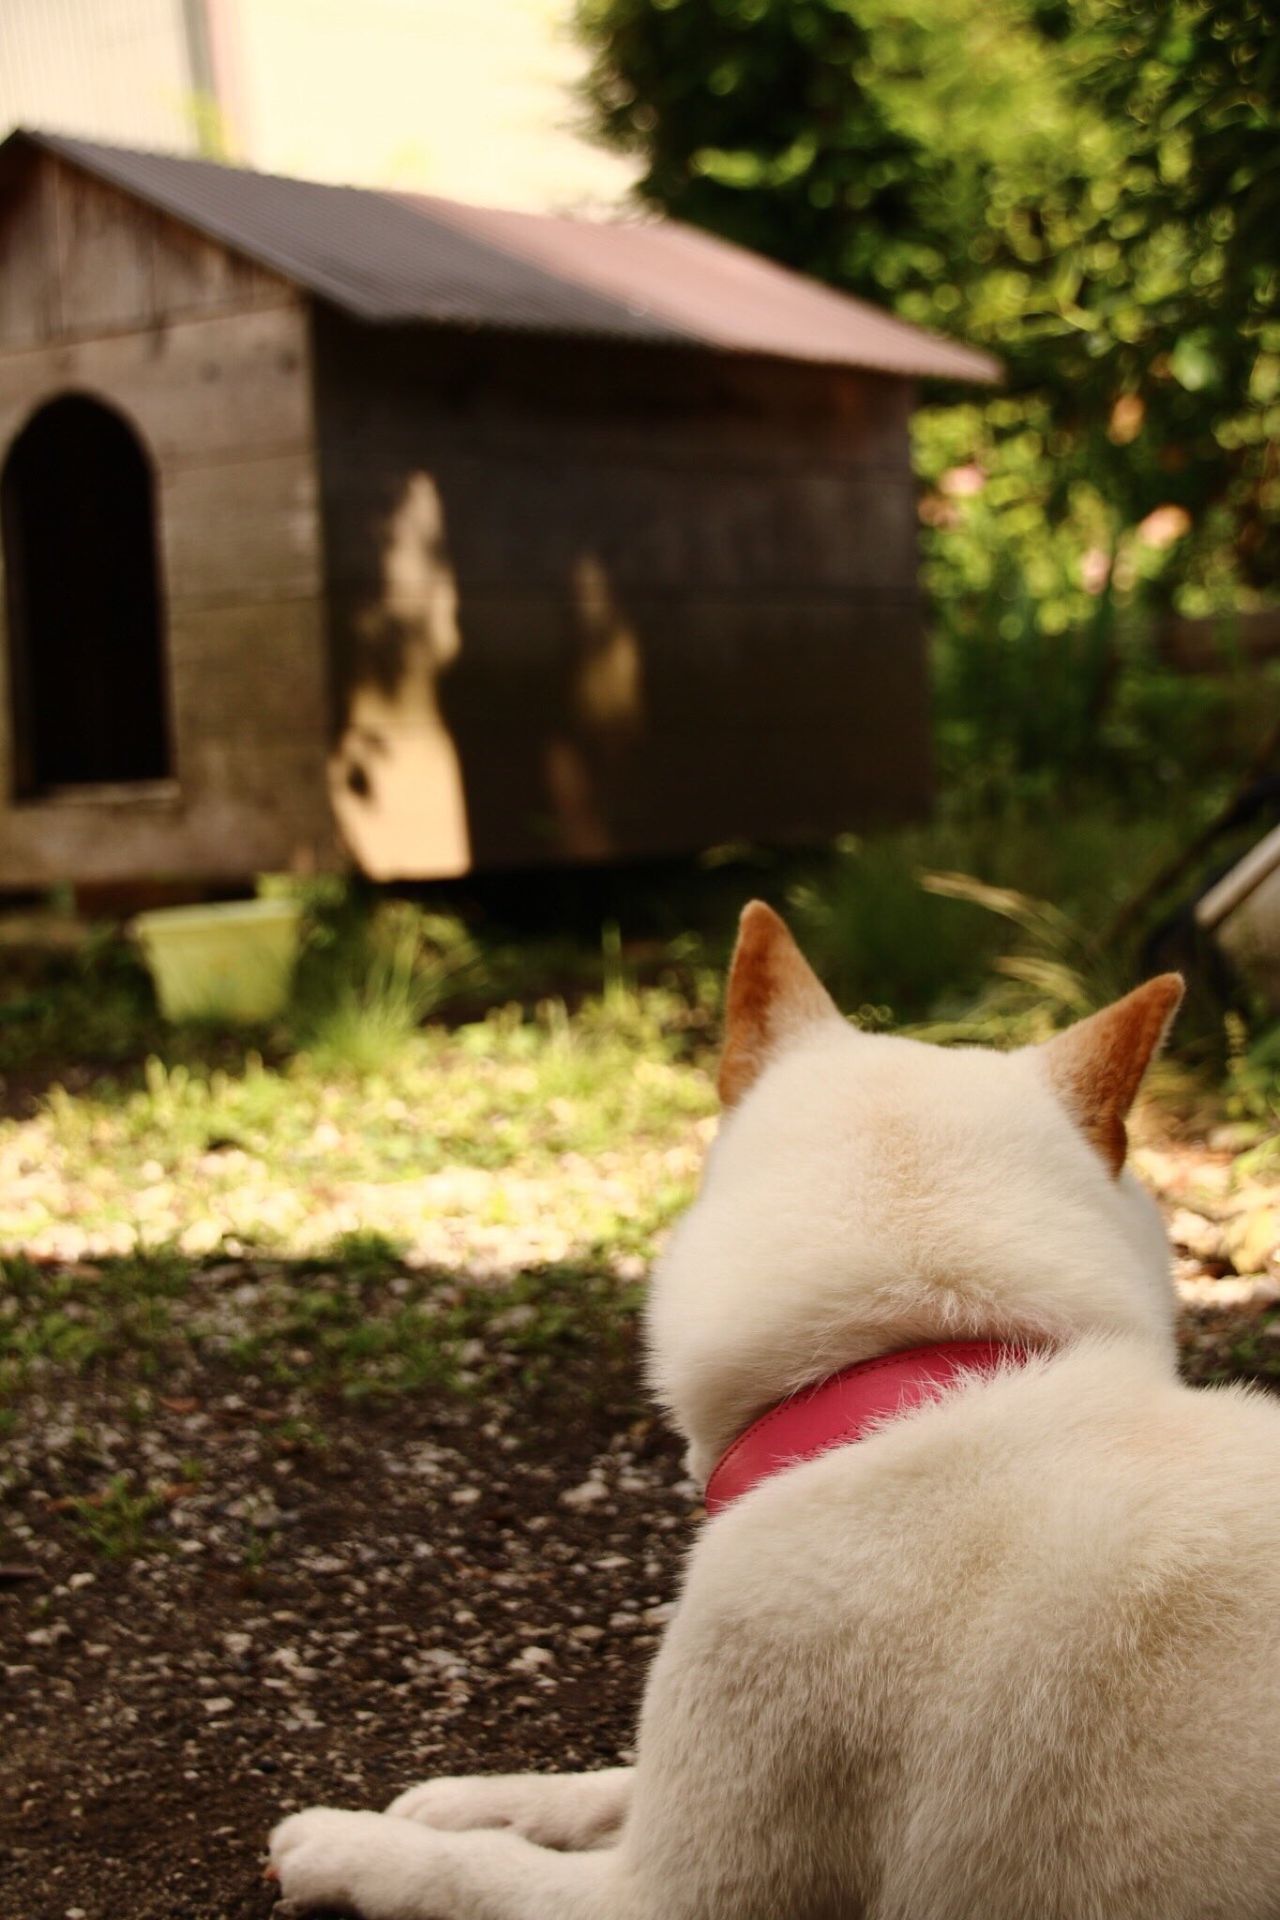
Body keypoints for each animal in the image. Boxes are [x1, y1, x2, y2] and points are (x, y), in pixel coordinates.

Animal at [268, 902, 1280, 1920]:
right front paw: (481, 1798)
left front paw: (350, 1846)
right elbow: (606, 1783)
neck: (903, 1378)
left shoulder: (670, 1894)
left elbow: (470, 1874)